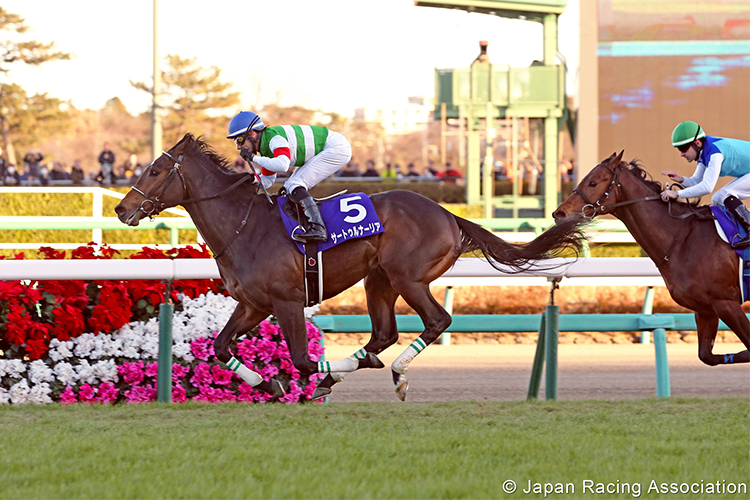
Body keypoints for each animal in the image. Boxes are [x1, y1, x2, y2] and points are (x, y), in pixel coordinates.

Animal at [117, 135, 588, 400]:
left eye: (156, 170)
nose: (122, 209)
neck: (243, 226)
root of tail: (448, 215)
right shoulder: (253, 304)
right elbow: (220, 347)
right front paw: (269, 384)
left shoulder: (287, 301)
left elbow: (304, 361)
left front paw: (313, 380)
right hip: (377, 279)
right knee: (384, 334)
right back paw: (365, 368)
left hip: (408, 277)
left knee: (436, 321)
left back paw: (394, 373)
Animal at [552, 150, 750, 366]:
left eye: (593, 182)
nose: (559, 214)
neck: (684, 238)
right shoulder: (705, 309)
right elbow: (707, 356)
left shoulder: (726, 303)